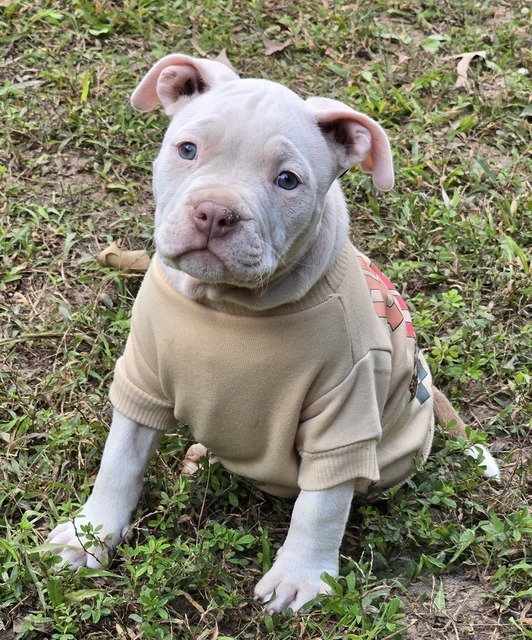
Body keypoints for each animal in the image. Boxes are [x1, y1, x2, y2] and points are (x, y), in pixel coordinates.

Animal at [46, 55, 498, 616]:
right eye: (187, 149)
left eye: (287, 180)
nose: (214, 213)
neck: (229, 307)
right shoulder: (142, 378)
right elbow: (120, 461)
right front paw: (90, 535)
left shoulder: (345, 409)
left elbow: (321, 505)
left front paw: (300, 576)